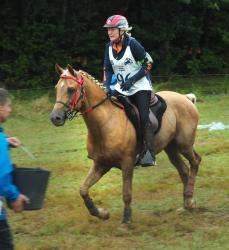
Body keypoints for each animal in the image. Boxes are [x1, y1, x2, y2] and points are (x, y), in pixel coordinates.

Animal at [51, 63, 201, 226]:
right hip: (171, 148)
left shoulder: (127, 162)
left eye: (71, 89)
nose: (55, 118)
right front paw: (101, 213)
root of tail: (186, 98)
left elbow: (126, 193)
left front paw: (126, 220)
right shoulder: (101, 164)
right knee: (184, 170)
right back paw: (187, 204)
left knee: (195, 162)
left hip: (184, 144)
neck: (106, 122)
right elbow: (83, 189)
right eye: (57, 88)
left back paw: (189, 200)